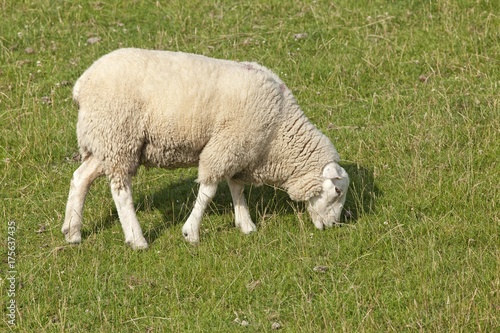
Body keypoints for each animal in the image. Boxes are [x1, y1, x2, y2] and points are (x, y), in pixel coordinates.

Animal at [61, 48, 348, 248]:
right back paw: (137, 239)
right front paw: (191, 232)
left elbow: (236, 187)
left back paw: (72, 232)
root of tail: (82, 85)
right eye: (337, 191)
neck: (278, 129)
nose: (333, 226)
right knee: (120, 190)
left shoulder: (240, 150)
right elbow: (209, 190)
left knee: (80, 178)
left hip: (103, 142)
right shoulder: (227, 144)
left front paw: (245, 224)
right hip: (119, 137)